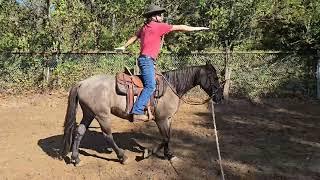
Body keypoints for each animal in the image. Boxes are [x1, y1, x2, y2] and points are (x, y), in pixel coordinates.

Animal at [60, 62, 222, 165]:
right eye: (214, 78)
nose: (220, 97)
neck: (171, 88)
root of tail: (82, 83)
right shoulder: (161, 119)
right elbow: (165, 138)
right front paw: (147, 153)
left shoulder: (168, 119)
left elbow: (169, 137)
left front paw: (169, 155)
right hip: (102, 115)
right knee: (108, 136)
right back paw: (122, 157)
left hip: (89, 113)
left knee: (79, 132)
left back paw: (76, 159)